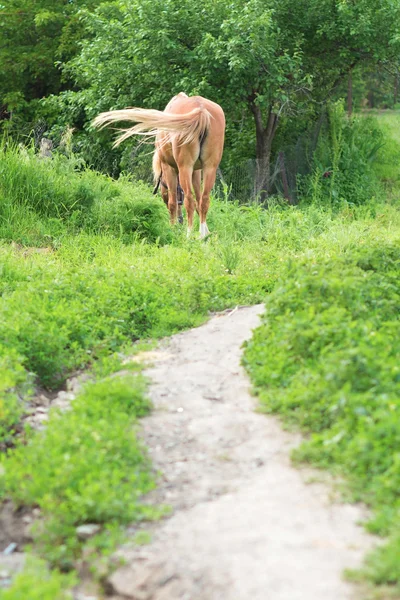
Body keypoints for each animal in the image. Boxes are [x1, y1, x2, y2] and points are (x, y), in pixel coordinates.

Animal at [93, 91, 225, 237]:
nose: (180, 221)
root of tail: (201, 110)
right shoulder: (196, 171)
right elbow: (198, 200)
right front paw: (206, 232)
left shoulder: (169, 168)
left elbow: (174, 202)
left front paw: (172, 229)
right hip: (210, 167)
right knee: (204, 200)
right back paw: (202, 236)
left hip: (185, 167)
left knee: (189, 200)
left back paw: (189, 236)